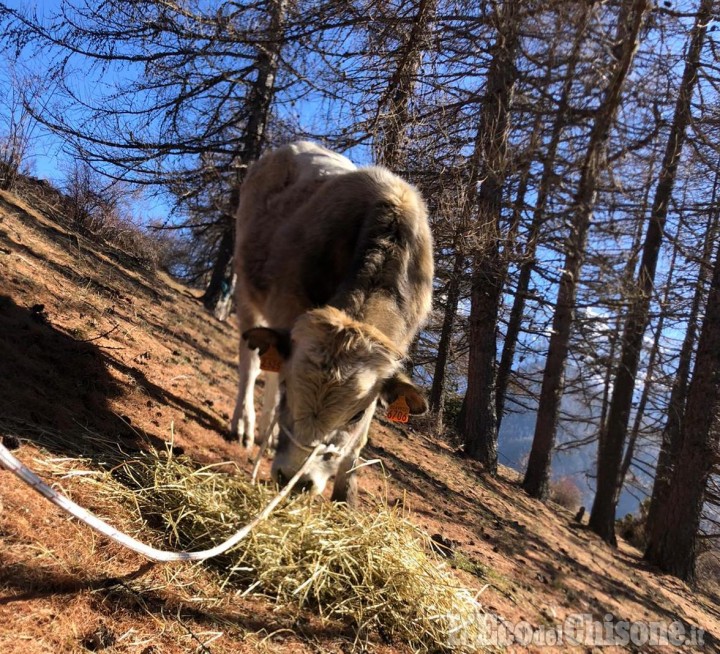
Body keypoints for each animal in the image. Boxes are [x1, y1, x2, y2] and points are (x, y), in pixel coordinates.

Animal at [231, 141, 434, 504]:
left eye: (357, 413)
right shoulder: (288, 307)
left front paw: (346, 493)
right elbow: (271, 372)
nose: (295, 479)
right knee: (252, 362)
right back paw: (247, 425)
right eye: (291, 387)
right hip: (246, 285)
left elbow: (360, 439)